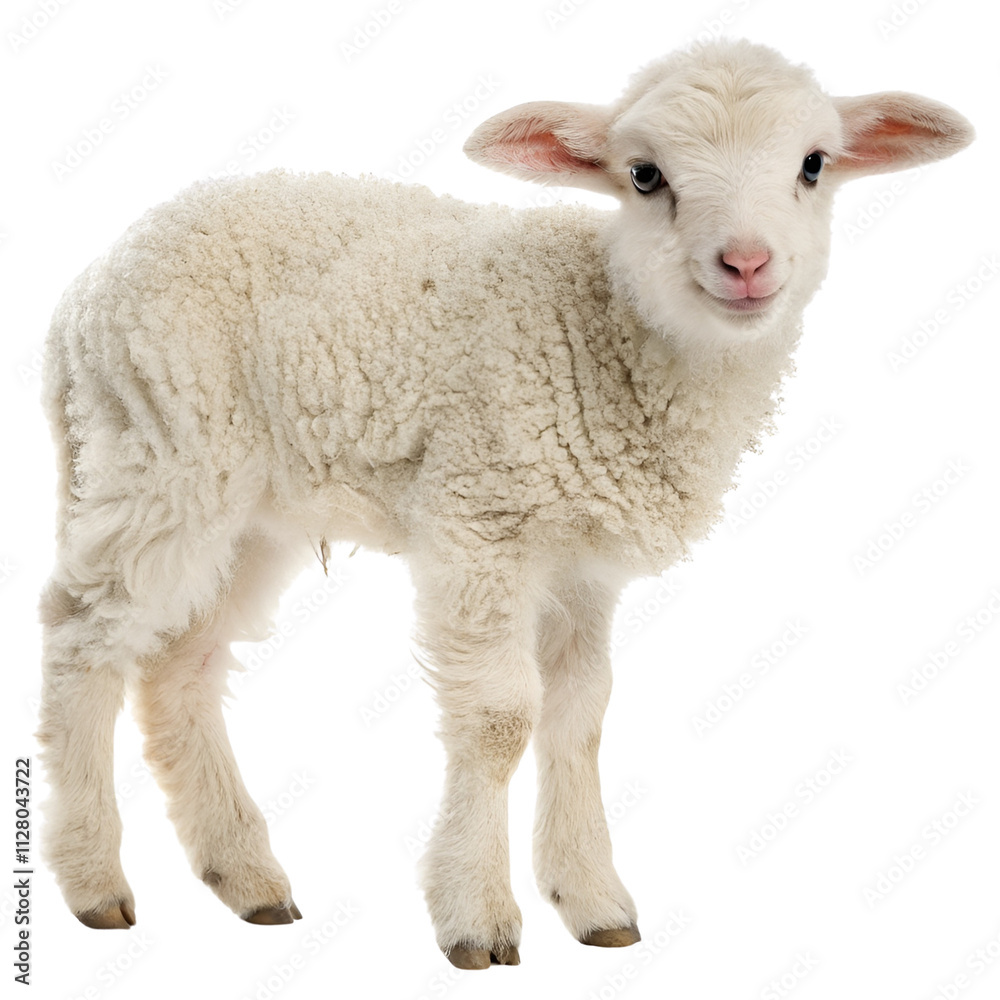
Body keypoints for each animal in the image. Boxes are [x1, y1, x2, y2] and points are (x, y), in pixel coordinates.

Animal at [36, 39, 973, 969]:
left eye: (814, 164)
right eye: (644, 175)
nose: (745, 264)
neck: (606, 332)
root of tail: (85, 292)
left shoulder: (583, 563)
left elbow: (581, 713)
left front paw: (592, 900)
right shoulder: (479, 521)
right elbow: (499, 720)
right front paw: (477, 915)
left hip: (253, 506)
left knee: (180, 663)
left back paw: (246, 877)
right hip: (160, 449)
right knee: (83, 635)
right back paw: (92, 880)